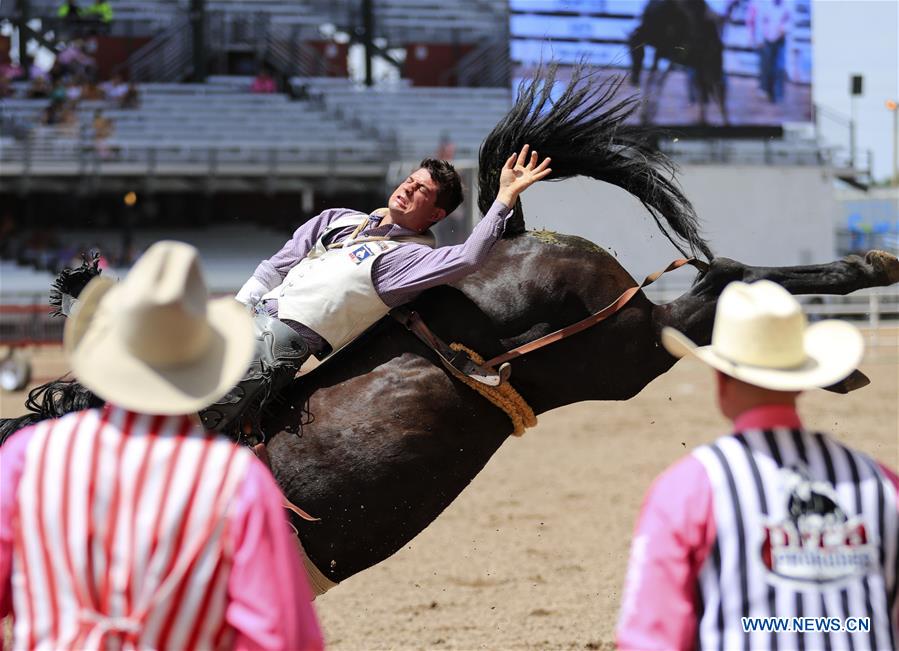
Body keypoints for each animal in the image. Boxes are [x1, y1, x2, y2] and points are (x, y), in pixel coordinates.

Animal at [1, 65, 899, 592]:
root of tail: (509, 233)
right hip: (612, 351)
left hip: (620, 347)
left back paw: (863, 283)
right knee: (721, 287)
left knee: (716, 283)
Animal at [512, 0, 816, 126]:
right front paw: (647, 111)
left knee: (716, 88)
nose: (633, 76)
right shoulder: (667, 55)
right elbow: (656, 80)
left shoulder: (674, 55)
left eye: (637, 53)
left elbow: (659, 80)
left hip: (709, 62)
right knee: (704, 88)